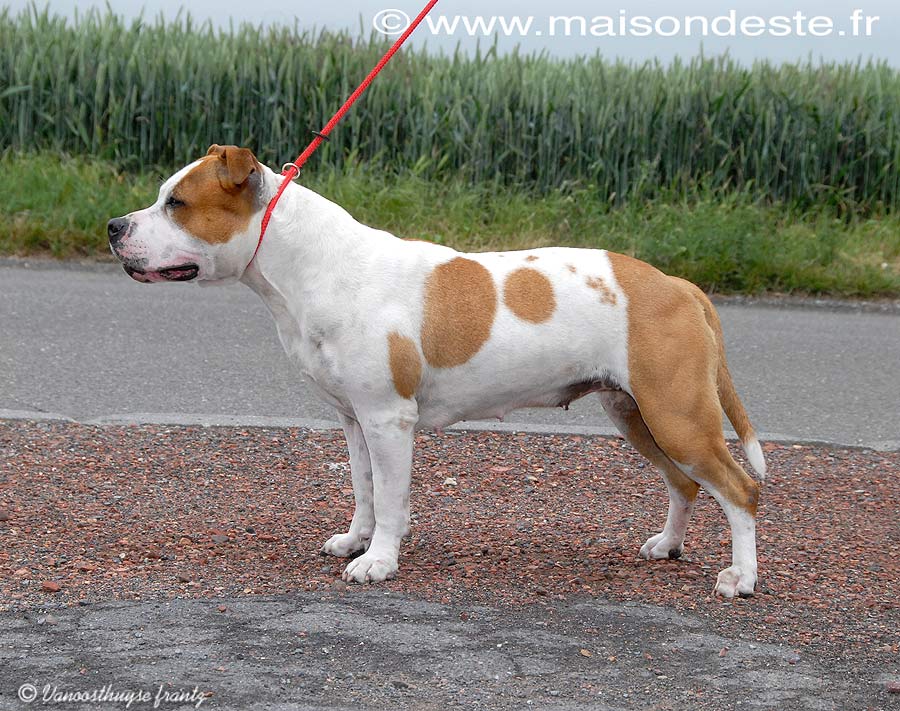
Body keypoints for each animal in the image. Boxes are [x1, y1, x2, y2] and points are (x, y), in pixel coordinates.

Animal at [108, 144, 765, 597]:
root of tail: (678, 284)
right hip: (638, 415)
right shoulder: (355, 420)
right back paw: (668, 546)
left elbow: (392, 498)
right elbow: (365, 489)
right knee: (685, 484)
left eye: (177, 204)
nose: (114, 227)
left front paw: (378, 562)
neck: (312, 264)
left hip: (678, 415)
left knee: (740, 490)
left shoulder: (389, 419)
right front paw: (355, 540)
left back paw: (740, 579)